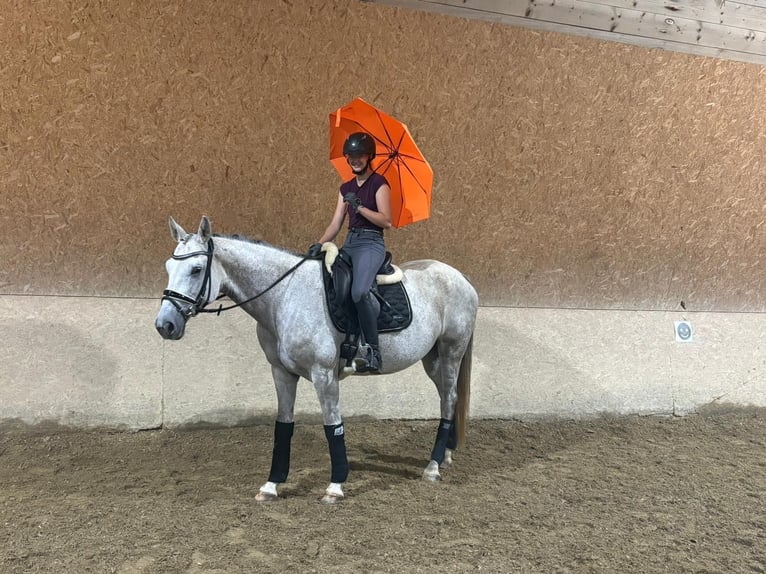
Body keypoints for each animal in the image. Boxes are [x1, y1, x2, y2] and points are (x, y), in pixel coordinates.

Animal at [154, 218, 480, 506]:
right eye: (169, 266)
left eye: (196, 269)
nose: (165, 325)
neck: (284, 296)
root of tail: (461, 277)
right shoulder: (281, 373)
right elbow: (283, 426)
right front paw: (271, 485)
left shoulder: (324, 375)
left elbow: (332, 426)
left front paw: (335, 486)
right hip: (433, 359)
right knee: (447, 399)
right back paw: (445, 455)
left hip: (451, 352)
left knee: (449, 398)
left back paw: (433, 467)